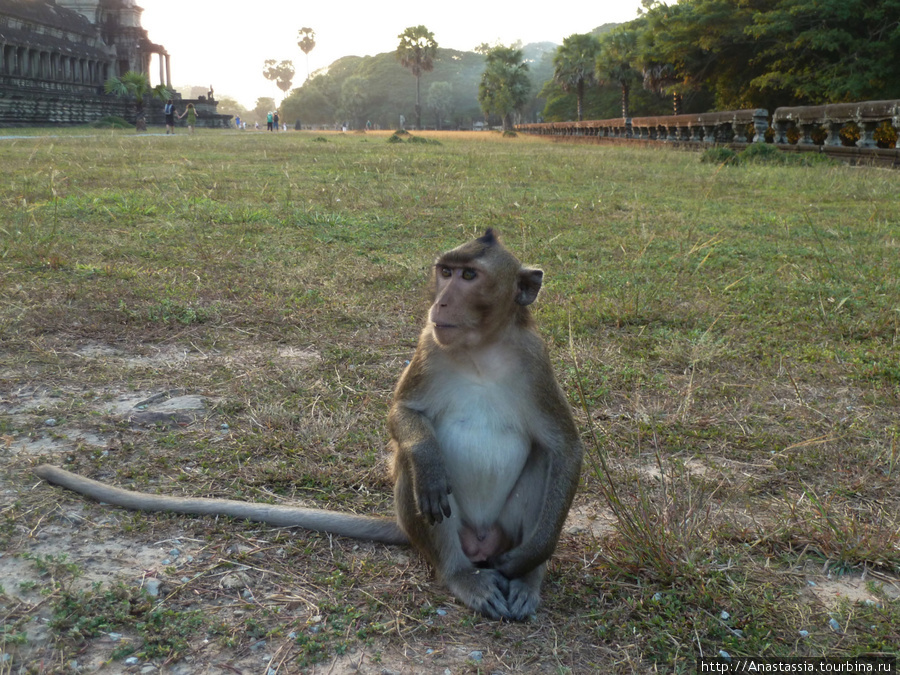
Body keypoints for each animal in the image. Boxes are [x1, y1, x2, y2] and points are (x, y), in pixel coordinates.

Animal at [33, 230, 584, 620]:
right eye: (446, 271)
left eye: (469, 277)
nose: (441, 301)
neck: (479, 352)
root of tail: (477, 548)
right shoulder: (430, 345)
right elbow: (404, 417)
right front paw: (427, 456)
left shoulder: (534, 360)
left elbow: (564, 447)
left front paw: (533, 558)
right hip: (437, 529)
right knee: (418, 474)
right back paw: (459, 574)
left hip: (500, 532)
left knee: (542, 462)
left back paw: (527, 579)